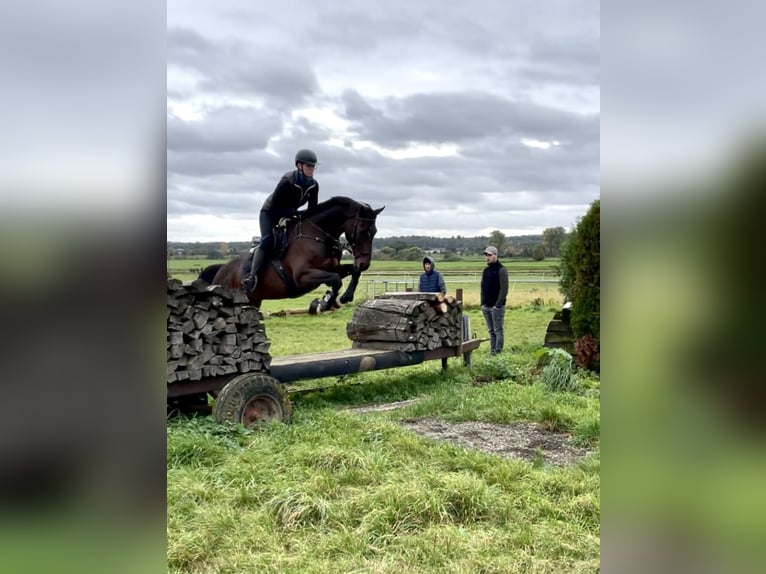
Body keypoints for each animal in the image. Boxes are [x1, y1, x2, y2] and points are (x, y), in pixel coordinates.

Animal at [201, 198, 388, 316]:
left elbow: (352, 273)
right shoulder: (302, 276)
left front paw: (344, 297)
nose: (364, 263)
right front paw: (325, 302)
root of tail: (221, 270)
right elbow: (335, 280)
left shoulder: (333, 267)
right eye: (362, 230)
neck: (317, 235)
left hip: (253, 301)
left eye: (375, 231)